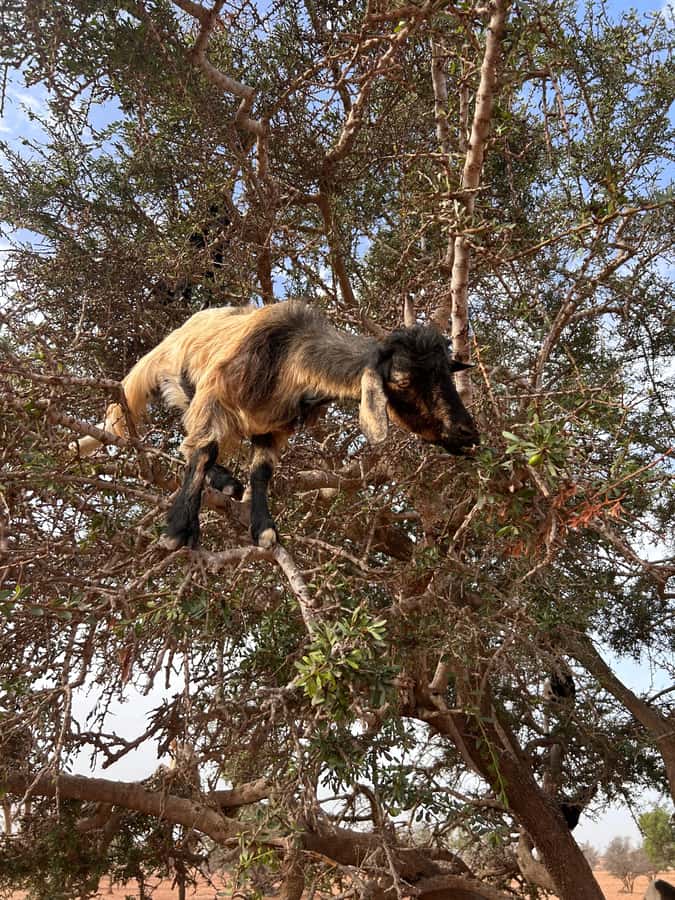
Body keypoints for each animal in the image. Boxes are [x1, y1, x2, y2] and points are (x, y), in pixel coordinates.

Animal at [72, 300, 479, 550]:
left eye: (446, 372)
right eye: (403, 381)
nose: (467, 432)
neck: (287, 356)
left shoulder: (275, 429)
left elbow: (262, 472)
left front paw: (264, 529)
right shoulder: (214, 394)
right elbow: (204, 450)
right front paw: (178, 530)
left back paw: (227, 482)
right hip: (175, 382)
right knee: (190, 444)